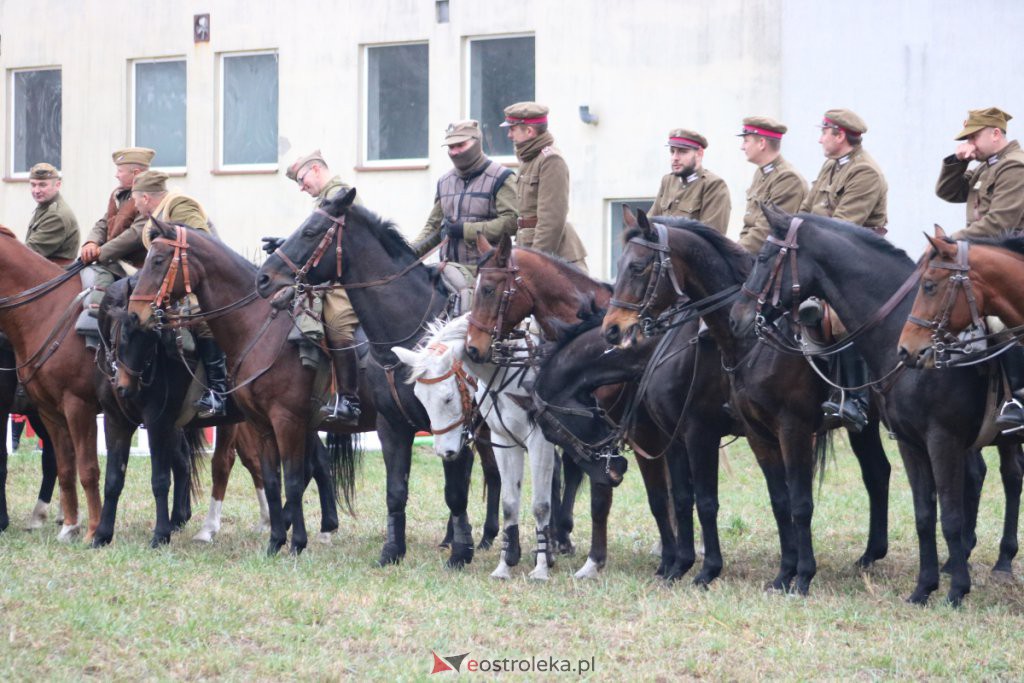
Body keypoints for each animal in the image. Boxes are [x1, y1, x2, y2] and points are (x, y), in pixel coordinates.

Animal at [391, 317, 557, 581]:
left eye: (448, 398)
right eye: (420, 397)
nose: (445, 453)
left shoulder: (539, 441)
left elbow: (541, 505)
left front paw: (540, 569)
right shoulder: (504, 440)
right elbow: (510, 502)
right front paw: (505, 565)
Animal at [602, 214, 892, 593]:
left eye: (637, 266)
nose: (611, 329)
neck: (753, 342)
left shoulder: (716, 431)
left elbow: (716, 502)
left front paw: (711, 570)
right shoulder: (696, 437)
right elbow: (697, 499)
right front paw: (681, 567)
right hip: (866, 428)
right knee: (878, 472)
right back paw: (870, 555)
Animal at [733, 206, 1019, 602]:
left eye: (763, 257)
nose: (737, 317)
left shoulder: (941, 439)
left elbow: (949, 514)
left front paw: (956, 591)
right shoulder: (910, 441)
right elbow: (924, 514)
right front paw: (924, 589)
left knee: (1010, 478)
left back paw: (1002, 560)